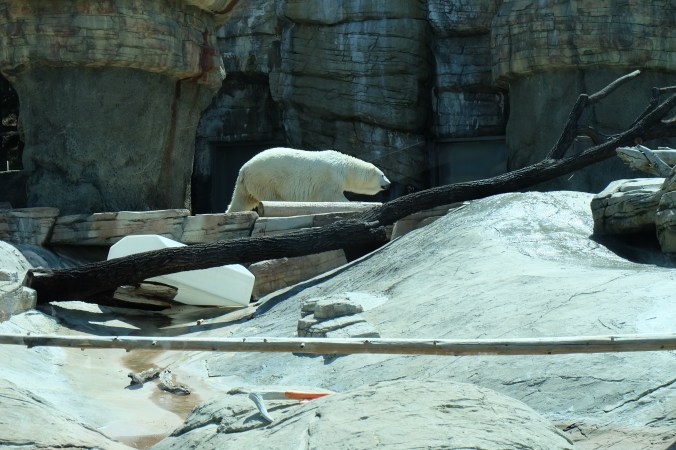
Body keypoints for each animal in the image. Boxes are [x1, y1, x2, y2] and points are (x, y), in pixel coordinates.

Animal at [226, 147, 391, 213]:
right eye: (383, 175)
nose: (389, 184)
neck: (345, 168)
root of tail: (244, 170)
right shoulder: (329, 179)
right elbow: (334, 198)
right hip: (266, 180)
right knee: (272, 197)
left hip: (247, 185)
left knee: (241, 201)